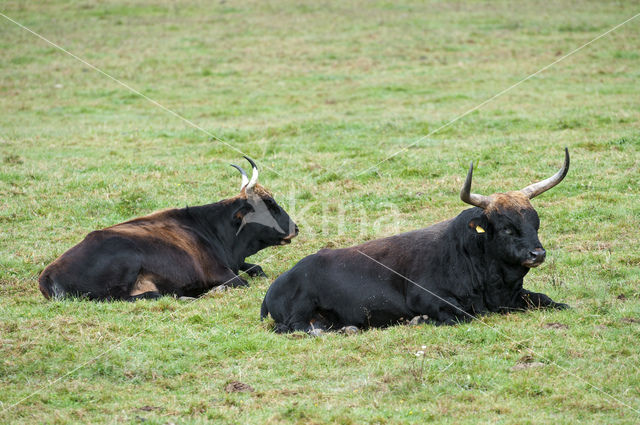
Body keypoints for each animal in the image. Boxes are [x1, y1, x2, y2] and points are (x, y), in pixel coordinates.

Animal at [38, 157, 298, 300]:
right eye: (269, 204)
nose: (295, 228)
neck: (212, 230)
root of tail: (48, 274)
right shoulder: (221, 273)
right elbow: (243, 281)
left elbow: (257, 268)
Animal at [262, 149, 572, 332]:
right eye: (506, 228)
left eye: (535, 222)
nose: (537, 254)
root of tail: (282, 279)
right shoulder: (430, 298)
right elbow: (463, 315)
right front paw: (420, 320)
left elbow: (551, 301)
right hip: (299, 313)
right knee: (295, 328)